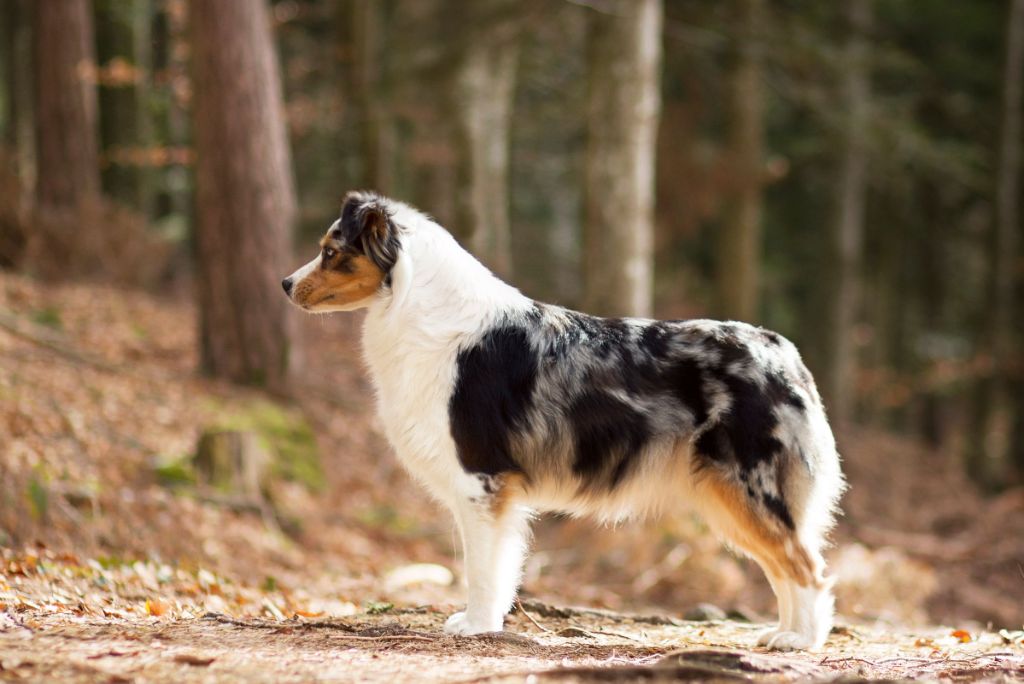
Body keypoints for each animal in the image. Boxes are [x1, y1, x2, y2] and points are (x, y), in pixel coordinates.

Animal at [284, 189, 843, 651]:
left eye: (331, 252)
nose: (286, 284)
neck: (416, 305)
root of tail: (782, 351)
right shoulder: (497, 493)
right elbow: (501, 567)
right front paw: (487, 623)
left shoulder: (481, 479)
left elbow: (480, 567)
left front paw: (476, 625)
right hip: (730, 497)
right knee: (785, 565)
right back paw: (784, 633)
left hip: (750, 487)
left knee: (808, 568)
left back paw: (801, 642)